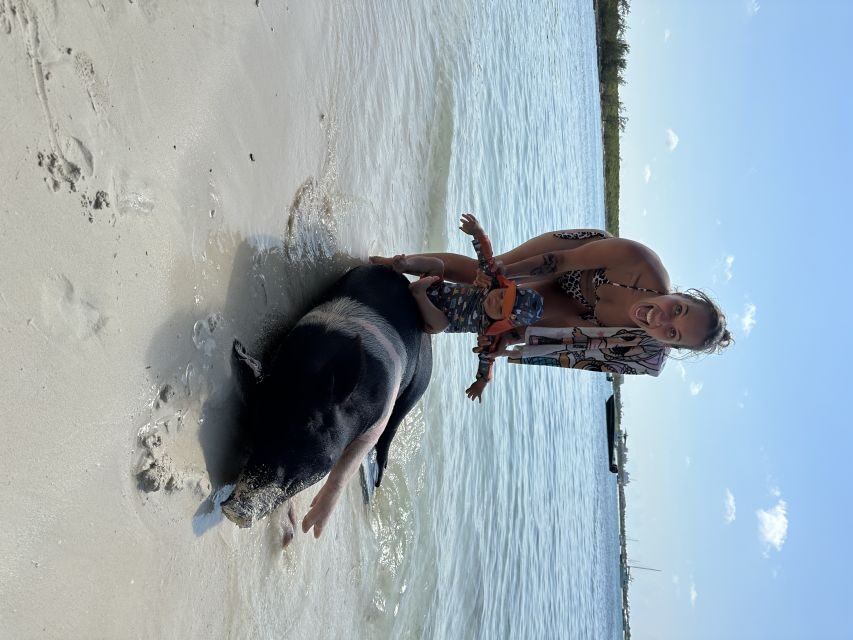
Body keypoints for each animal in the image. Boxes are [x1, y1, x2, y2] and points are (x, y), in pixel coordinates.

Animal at [221, 265, 432, 544]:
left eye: (311, 424)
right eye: (257, 421)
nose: (234, 509)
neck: (306, 371)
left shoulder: (379, 416)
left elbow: (348, 465)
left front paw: (312, 529)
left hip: (420, 384)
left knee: (392, 430)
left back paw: (378, 479)